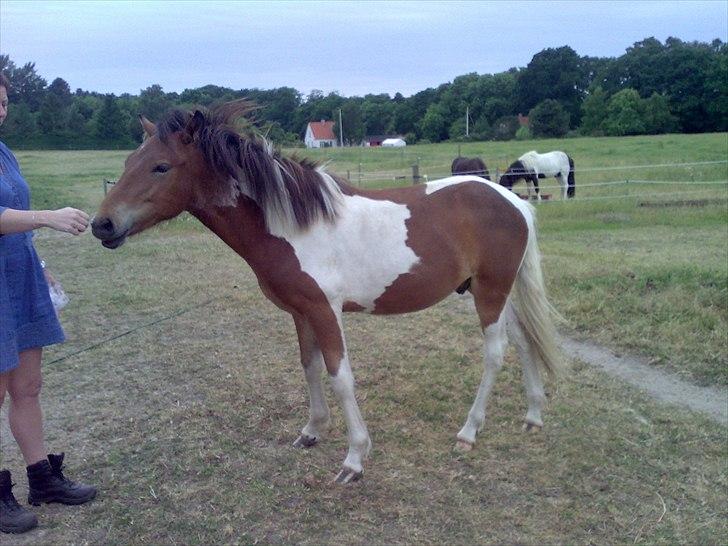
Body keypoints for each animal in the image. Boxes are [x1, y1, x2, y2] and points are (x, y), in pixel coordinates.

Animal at [92, 101, 564, 480]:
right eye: (131, 160)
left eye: (160, 166)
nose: (102, 224)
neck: (291, 225)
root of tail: (514, 202)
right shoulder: (300, 311)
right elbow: (309, 366)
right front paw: (312, 431)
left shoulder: (325, 310)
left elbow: (340, 376)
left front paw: (354, 458)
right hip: (497, 292)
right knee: (524, 342)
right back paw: (534, 415)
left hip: (489, 293)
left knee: (496, 352)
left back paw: (468, 431)